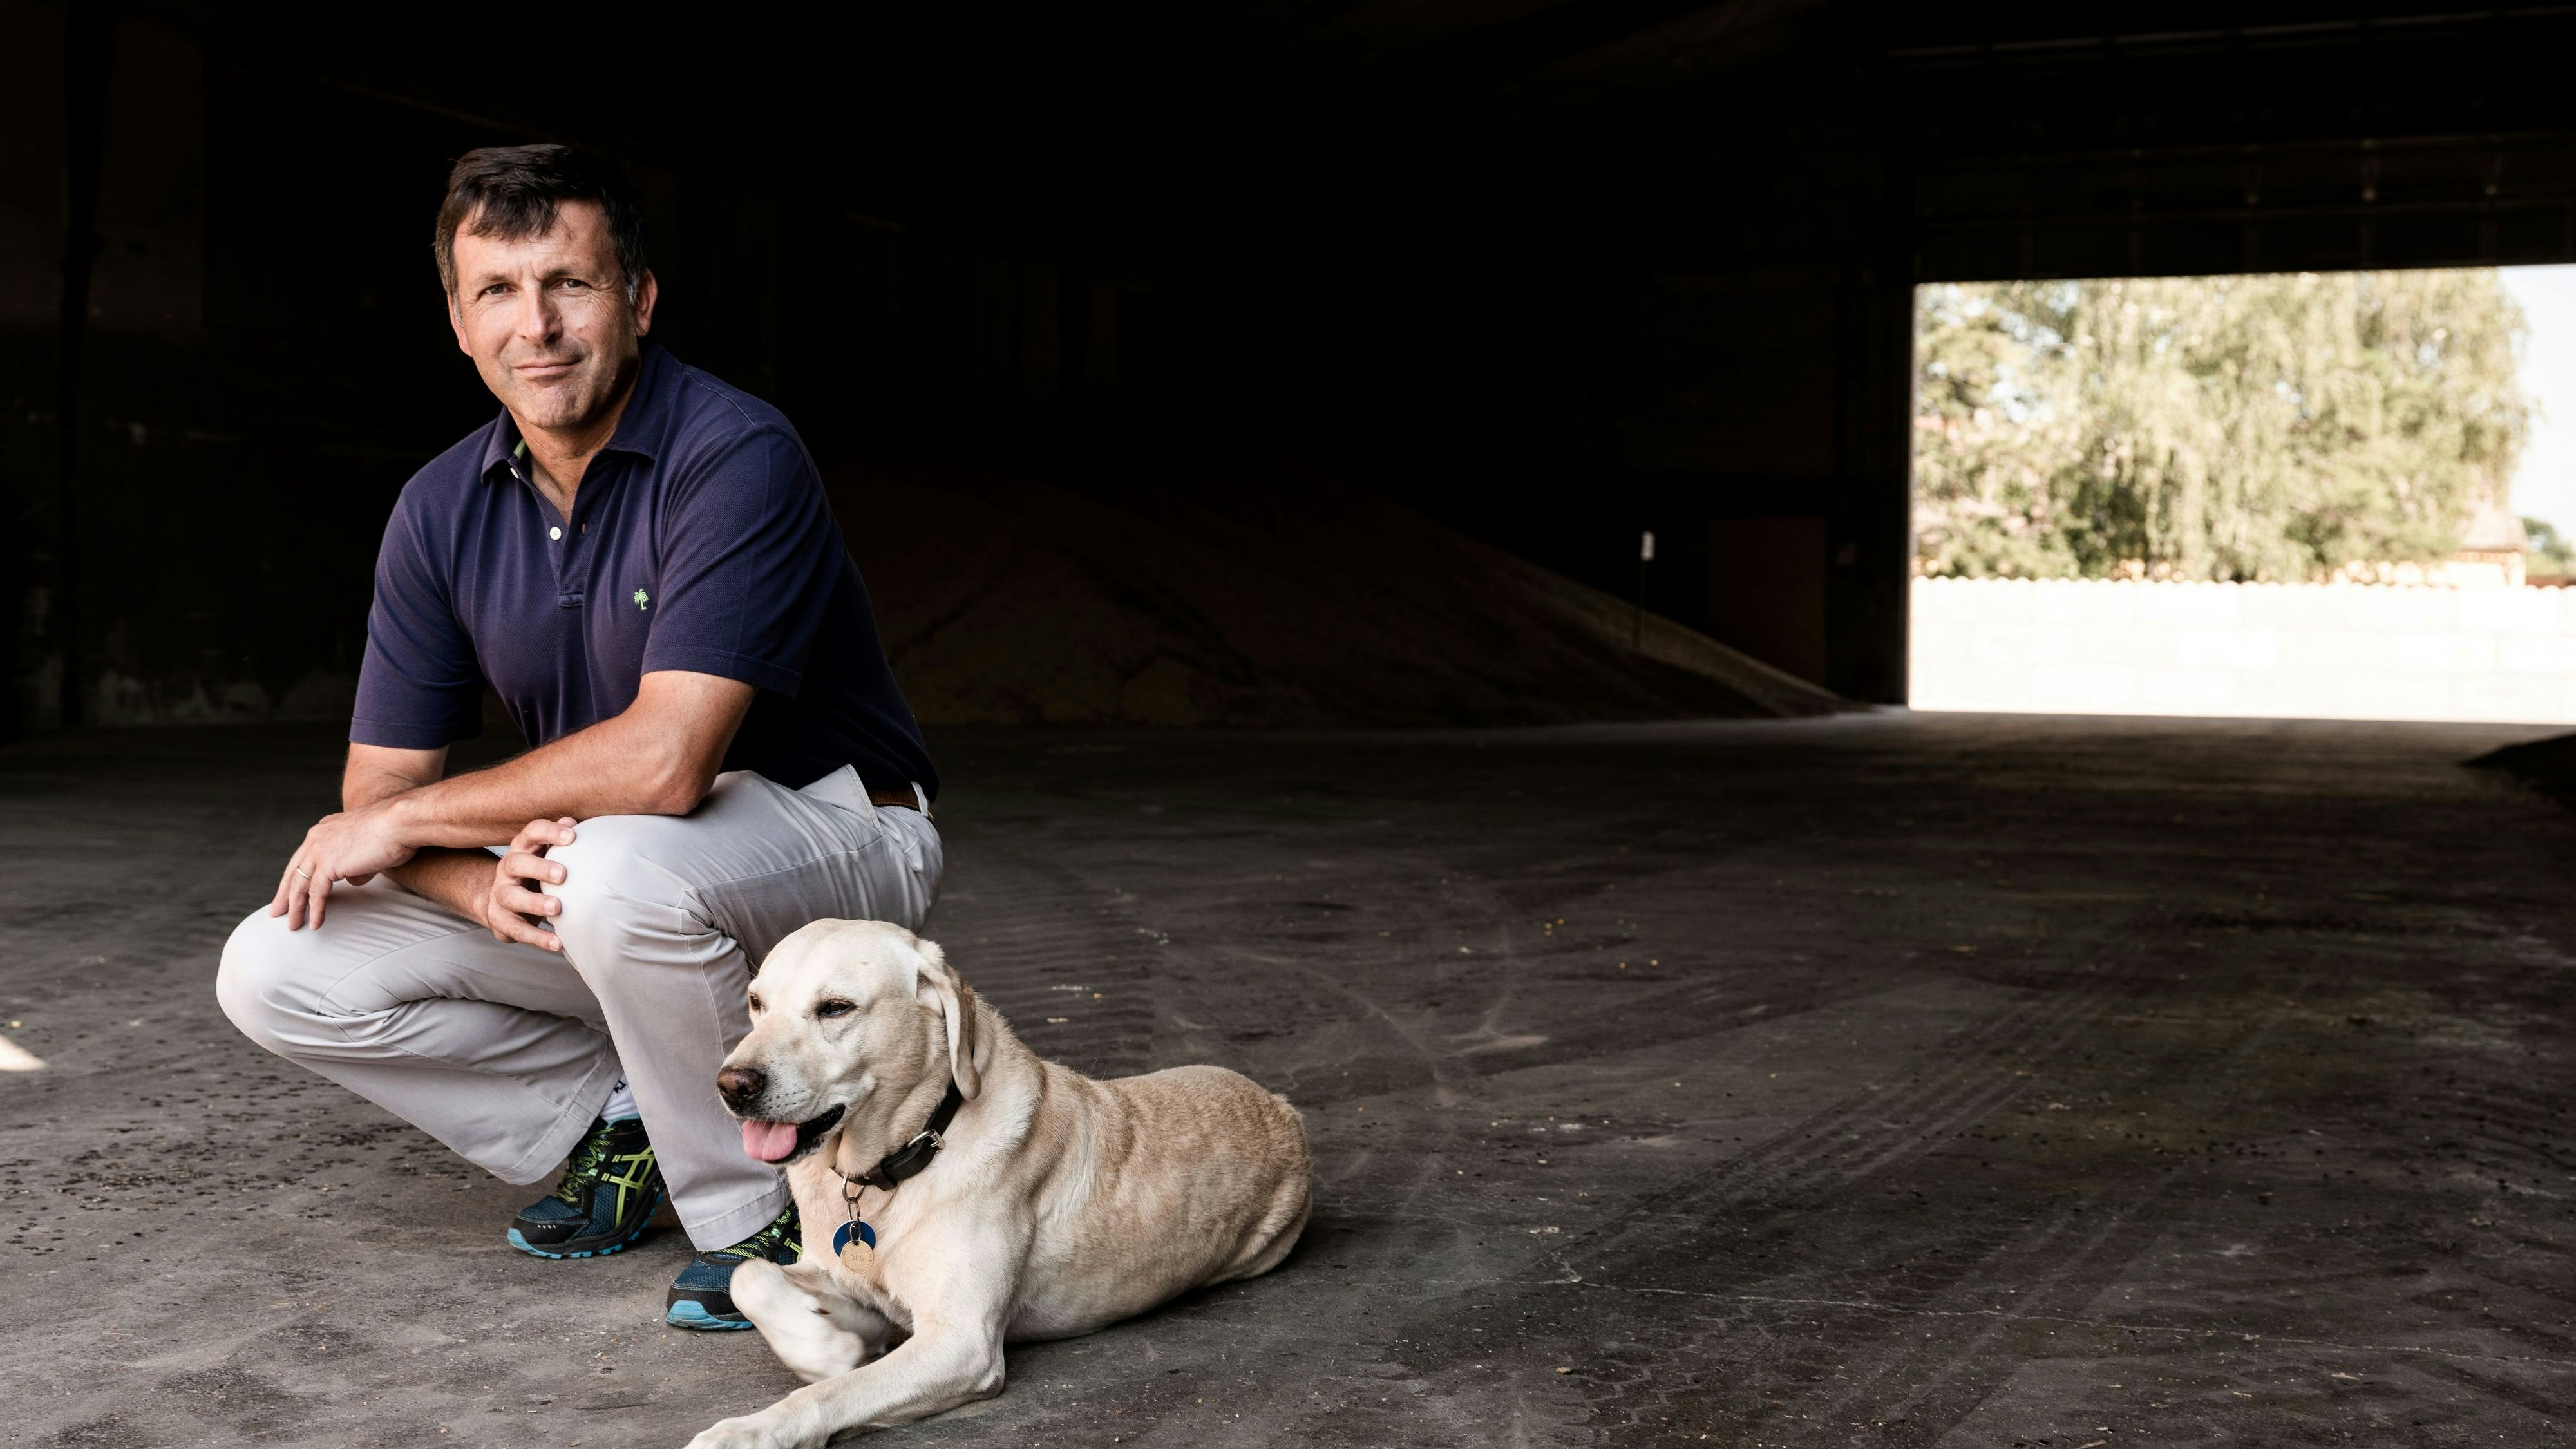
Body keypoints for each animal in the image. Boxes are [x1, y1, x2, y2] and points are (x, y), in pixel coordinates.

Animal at [685, 918, 1309, 1433]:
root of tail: (1284, 1107)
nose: (733, 1086)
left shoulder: (962, 1344)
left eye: (836, 1008)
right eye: (756, 1002)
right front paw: (823, 1346)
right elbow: (750, 1279)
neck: (903, 1156)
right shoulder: (849, 1286)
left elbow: (833, 1393)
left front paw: (753, 1426)